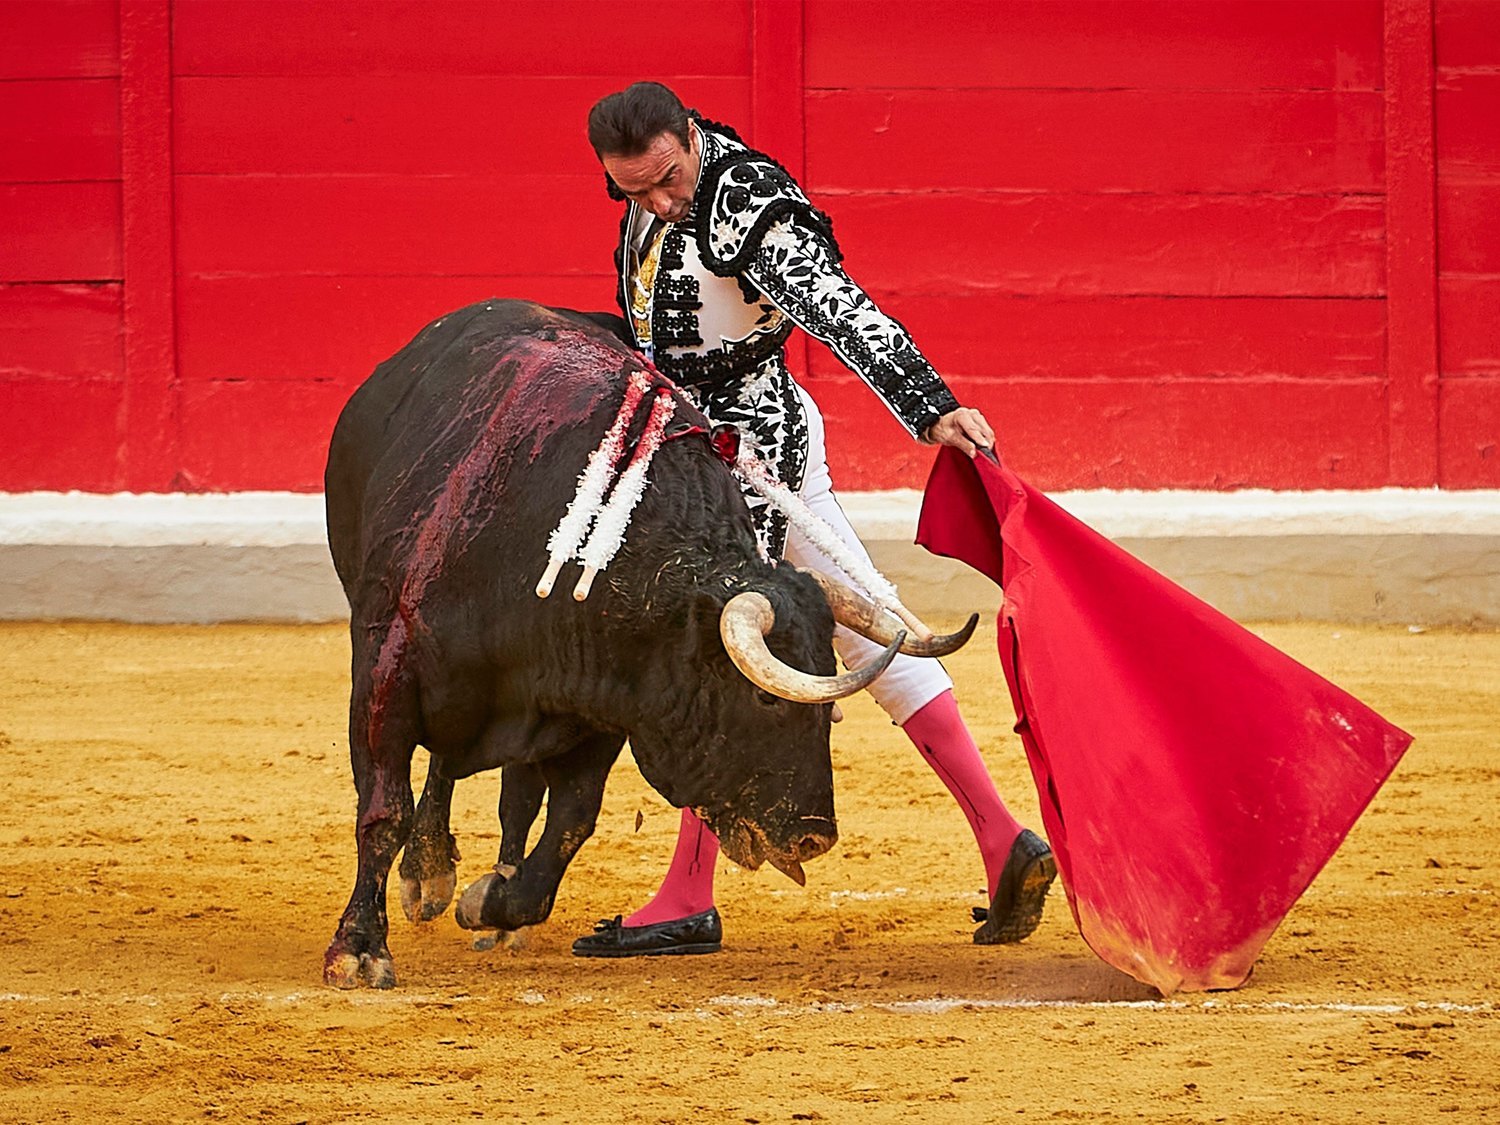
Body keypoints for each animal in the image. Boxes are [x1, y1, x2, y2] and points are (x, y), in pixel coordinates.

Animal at [321, 300, 966, 984]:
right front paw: (359, 949)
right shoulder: (386, 673)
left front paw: (494, 902)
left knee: (504, 788)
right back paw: (427, 873)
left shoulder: (599, 700)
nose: (814, 836)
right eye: (766, 699)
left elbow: (570, 821)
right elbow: (383, 811)